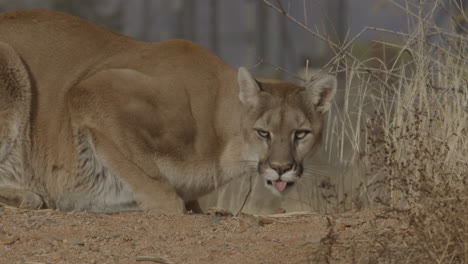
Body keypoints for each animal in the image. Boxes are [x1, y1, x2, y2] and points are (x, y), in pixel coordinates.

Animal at [0, 9, 336, 214]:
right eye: (263, 133)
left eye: (301, 134)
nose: (281, 167)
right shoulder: (92, 92)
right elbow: (149, 178)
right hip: (11, 67)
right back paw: (31, 194)